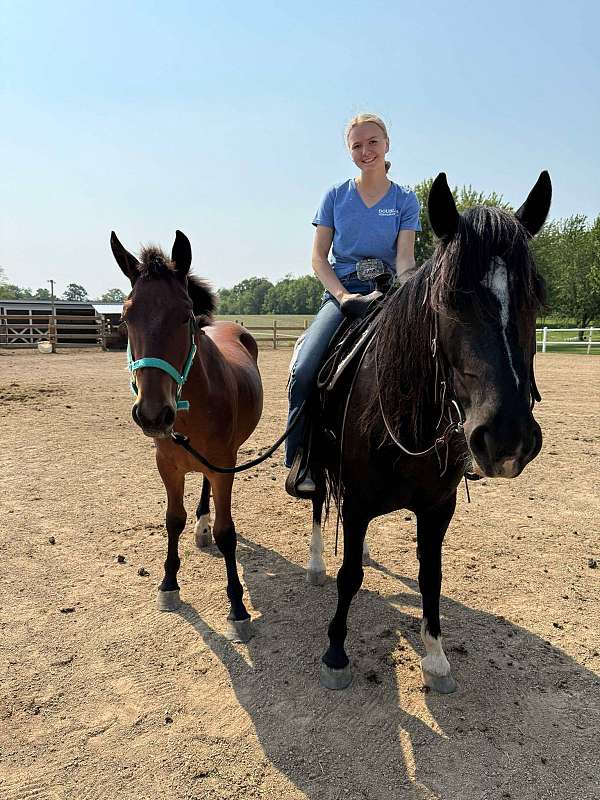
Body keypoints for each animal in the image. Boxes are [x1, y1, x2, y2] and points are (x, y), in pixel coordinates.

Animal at [110, 231, 263, 642]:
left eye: (185, 315)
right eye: (126, 317)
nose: (152, 414)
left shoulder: (225, 465)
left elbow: (228, 533)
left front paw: (237, 608)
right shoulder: (167, 465)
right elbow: (172, 520)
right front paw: (168, 585)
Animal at [306, 171, 551, 692]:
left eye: (533, 298)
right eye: (451, 299)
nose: (507, 438)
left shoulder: (438, 509)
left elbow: (430, 577)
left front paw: (436, 657)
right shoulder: (358, 502)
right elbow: (349, 575)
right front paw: (335, 652)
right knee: (319, 503)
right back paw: (316, 563)